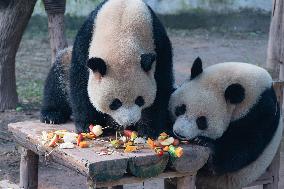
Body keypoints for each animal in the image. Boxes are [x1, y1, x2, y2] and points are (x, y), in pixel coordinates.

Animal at [40, 0, 174, 137]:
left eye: (139, 100)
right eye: (115, 103)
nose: (129, 123)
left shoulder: (159, 44)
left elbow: (161, 86)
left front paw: (148, 129)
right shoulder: (86, 39)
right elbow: (80, 82)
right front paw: (87, 125)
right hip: (65, 62)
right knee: (59, 77)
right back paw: (51, 115)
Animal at [169, 58, 282, 189]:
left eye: (201, 121)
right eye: (181, 109)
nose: (179, 133)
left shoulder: (259, 112)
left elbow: (243, 145)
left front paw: (204, 142)